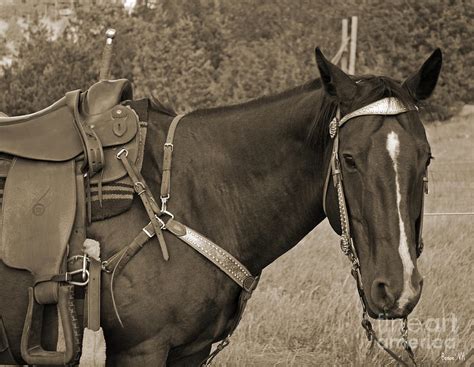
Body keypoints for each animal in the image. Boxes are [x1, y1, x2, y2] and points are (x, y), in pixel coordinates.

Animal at [0, 47, 440, 366]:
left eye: (426, 158)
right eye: (349, 159)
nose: (398, 288)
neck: (195, 194)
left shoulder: (190, 350)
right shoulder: (140, 349)